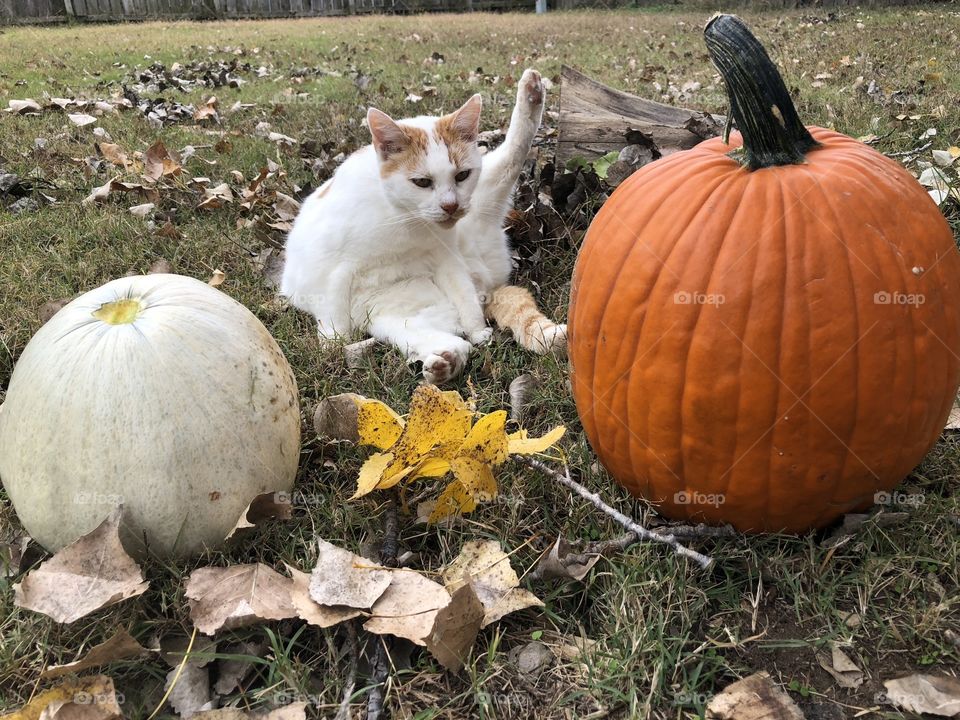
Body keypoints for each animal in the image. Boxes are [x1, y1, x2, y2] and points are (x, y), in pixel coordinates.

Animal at [280, 68, 564, 386]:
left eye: (462, 175)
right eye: (422, 182)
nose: (451, 206)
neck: (404, 221)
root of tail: (485, 282)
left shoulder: (445, 256)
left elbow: (464, 300)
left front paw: (478, 329)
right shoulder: (335, 267)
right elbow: (334, 308)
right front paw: (334, 343)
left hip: (487, 191)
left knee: (512, 156)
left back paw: (531, 93)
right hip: (391, 318)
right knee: (448, 341)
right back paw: (447, 361)